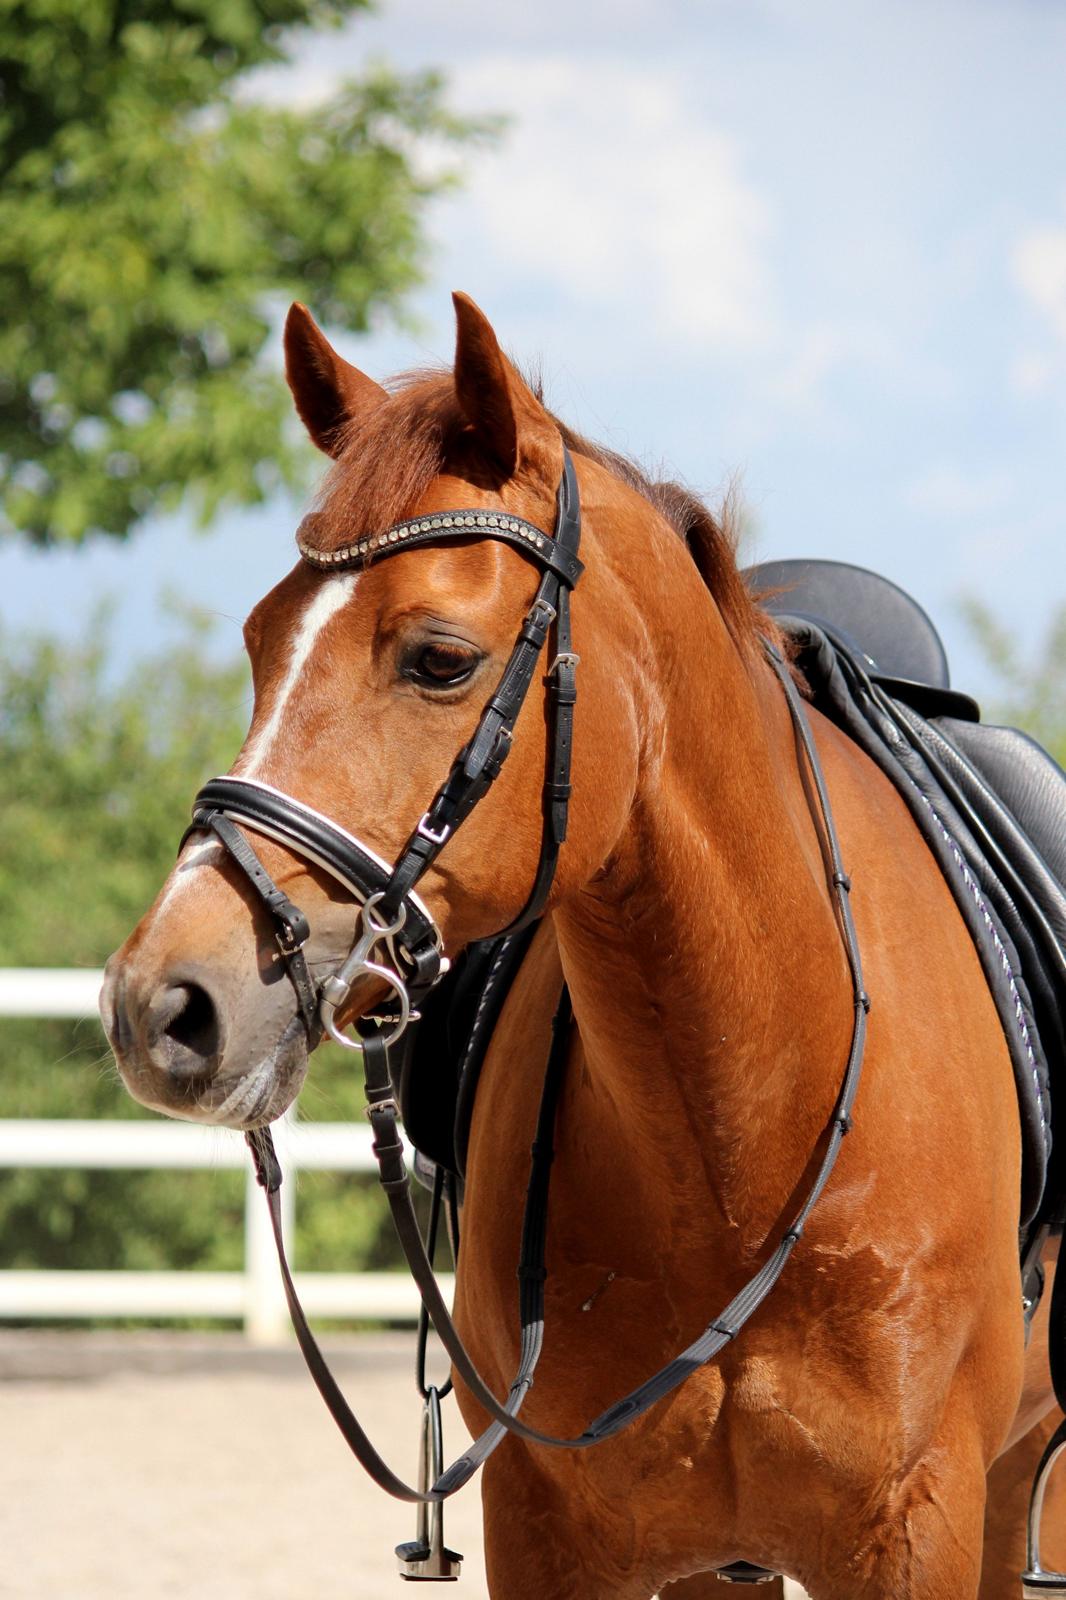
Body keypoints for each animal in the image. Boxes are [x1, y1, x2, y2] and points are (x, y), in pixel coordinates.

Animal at [102, 292, 1065, 1599]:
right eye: (261, 639)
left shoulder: (917, 1531)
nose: (161, 1005)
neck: (739, 1134)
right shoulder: (547, 1527)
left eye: (440, 658)